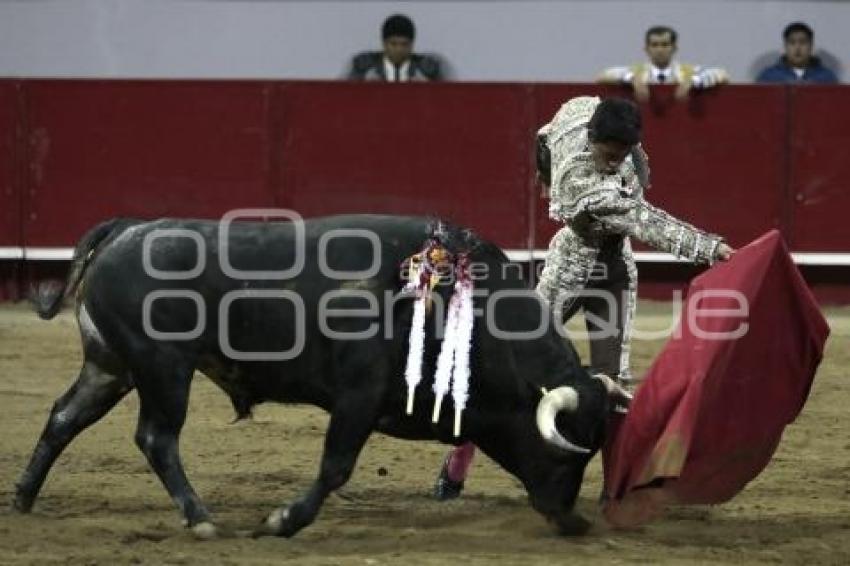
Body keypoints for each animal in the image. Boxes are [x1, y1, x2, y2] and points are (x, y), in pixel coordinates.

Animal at [11, 215, 624, 540]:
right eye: (569, 447)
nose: (574, 521)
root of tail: (126, 230)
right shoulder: (357, 398)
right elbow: (335, 466)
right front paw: (281, 520)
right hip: (163, 369)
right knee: (156, 437)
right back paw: (202, 518)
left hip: (110, 366)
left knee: (63, 417)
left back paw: (21, 498)